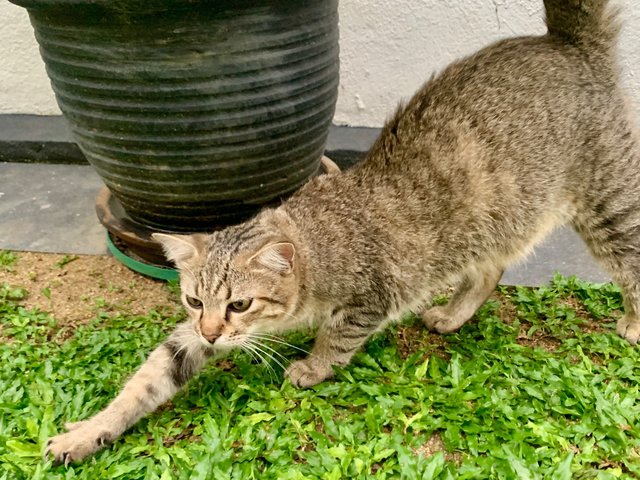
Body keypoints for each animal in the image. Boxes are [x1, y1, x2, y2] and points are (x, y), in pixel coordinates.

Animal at [46, 0, 640, 464]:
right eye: (195, 301)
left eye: (240, 304)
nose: (213, 332)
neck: (314, 251)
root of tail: (564, 42)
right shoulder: (190, 335)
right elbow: (146, 380)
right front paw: (89, 431)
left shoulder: (369, 297)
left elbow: (337, 337)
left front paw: (312, 366)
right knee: (489, 268)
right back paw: (453, 314)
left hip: (607, 201)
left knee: (630, 260)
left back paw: (633, 322)